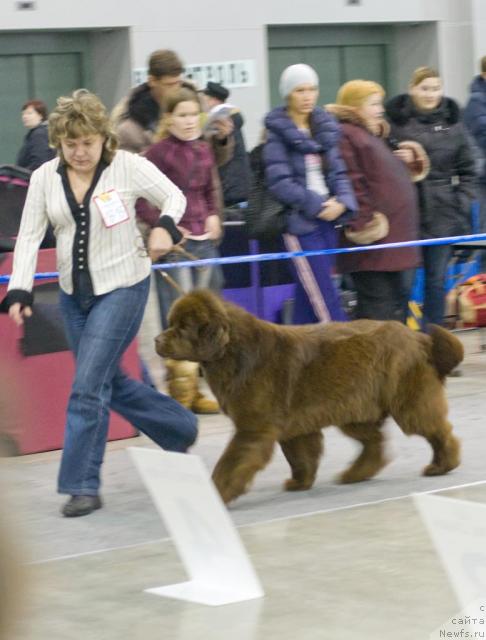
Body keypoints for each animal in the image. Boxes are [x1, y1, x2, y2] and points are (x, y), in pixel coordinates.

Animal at [157, 290, 464, 504]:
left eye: (182, 327)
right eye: (171, 323)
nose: (157, 340)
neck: (234, 353)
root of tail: (419, 338)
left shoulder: (253, 429)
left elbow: (231, 463)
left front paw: (217, 492)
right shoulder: (293, 427)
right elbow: (300, 457)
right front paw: (300, 483)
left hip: (408, 403)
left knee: (438, 431)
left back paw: (442, 465)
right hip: (355, 409)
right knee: (375, 443)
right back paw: (356, 474)